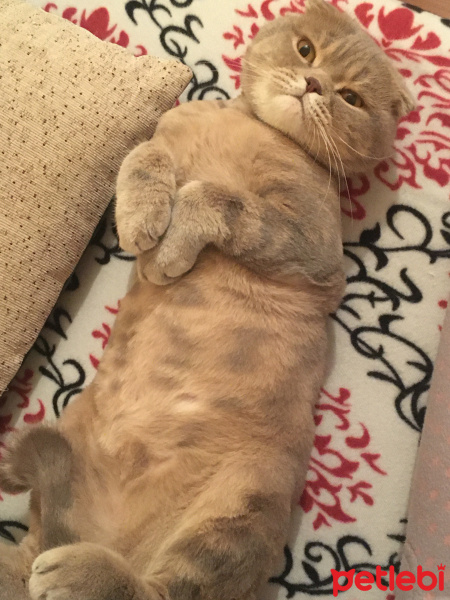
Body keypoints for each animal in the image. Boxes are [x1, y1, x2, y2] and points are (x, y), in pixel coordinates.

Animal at [0, 1, 414, 600]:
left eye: (352, 97)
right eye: (306, 50)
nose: (314, 84)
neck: (248, 128)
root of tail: (98, 537)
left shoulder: (312, 247)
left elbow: (214, 196)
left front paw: (168, 251)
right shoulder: (163, 136)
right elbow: (144, 156)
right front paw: (142, 221)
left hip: (240, 509)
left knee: (160, 590)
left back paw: (79, 573)